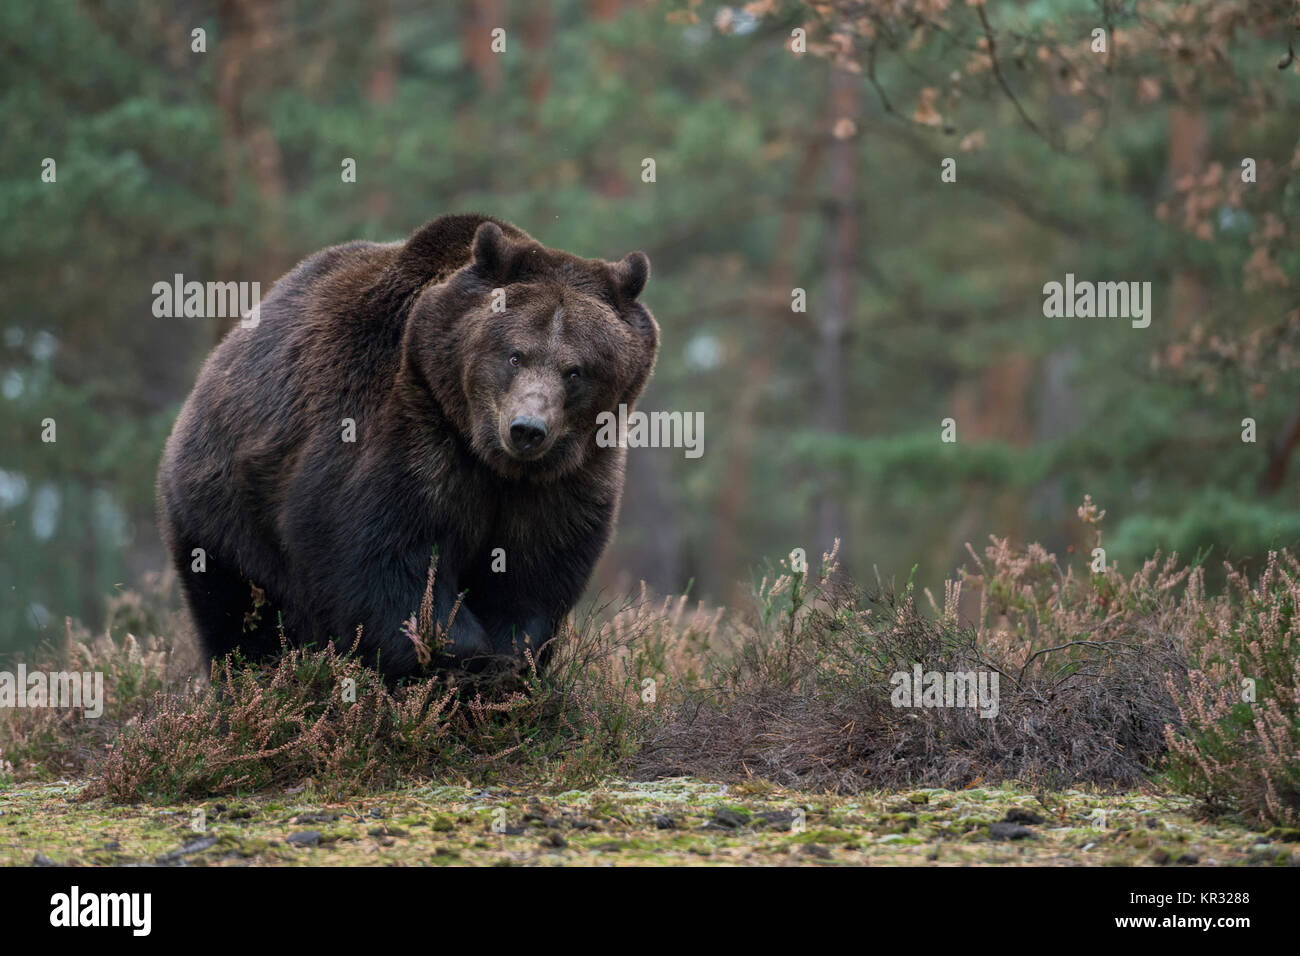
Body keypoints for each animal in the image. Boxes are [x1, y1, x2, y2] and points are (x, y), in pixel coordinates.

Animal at [157, 213, 658, 678]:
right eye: (515, 355)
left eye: (576, 370)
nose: (527, 429)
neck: (489, 457)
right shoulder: (407, 432)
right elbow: (390, 565)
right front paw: (454, 658)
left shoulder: (567, 477)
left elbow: (531, 579)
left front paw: (509, 662)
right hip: (224, 509)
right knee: (240, 613)